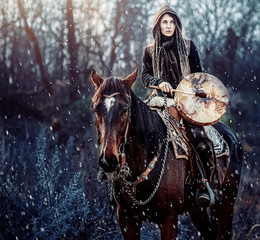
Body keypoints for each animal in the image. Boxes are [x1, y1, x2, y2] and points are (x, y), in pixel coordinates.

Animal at [91, 68, 244, 240]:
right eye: (96, 108)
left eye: (125, 109)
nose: (108, 160)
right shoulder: (126, 217)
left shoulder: (168, 217)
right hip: (198, 210)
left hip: (226, 202)